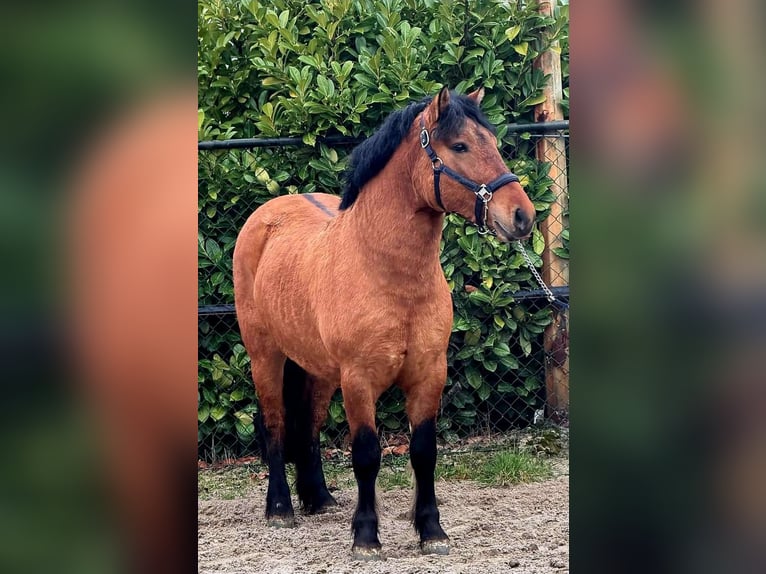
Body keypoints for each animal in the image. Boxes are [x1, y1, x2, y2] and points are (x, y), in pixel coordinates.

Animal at [232, 86, 535, 560]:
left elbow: (424, 451)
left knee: (310, 425)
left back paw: (319, 498)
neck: (387, 273)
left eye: (494, 143)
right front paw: (365, 537)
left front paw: (431, 531)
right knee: (277, 422)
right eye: (460, 146)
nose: (523, 216)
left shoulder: (429, 373)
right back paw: (280, 508)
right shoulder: (359, 379)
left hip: (319, 370)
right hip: (266, 355)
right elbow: (367, 455)